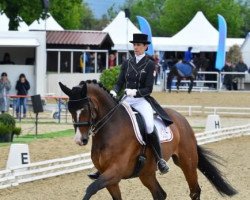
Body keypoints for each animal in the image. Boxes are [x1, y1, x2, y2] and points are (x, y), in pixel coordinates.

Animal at [58, 80, 236, 200]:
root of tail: (181, 119)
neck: (110, 129)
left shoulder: (115, 172)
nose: (80, 140)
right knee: (160, 194)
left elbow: (91, 189)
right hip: (147, 172)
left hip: (187, 162)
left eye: (85, 109)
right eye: (70, 109)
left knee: (194, 191)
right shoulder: (109, 177)